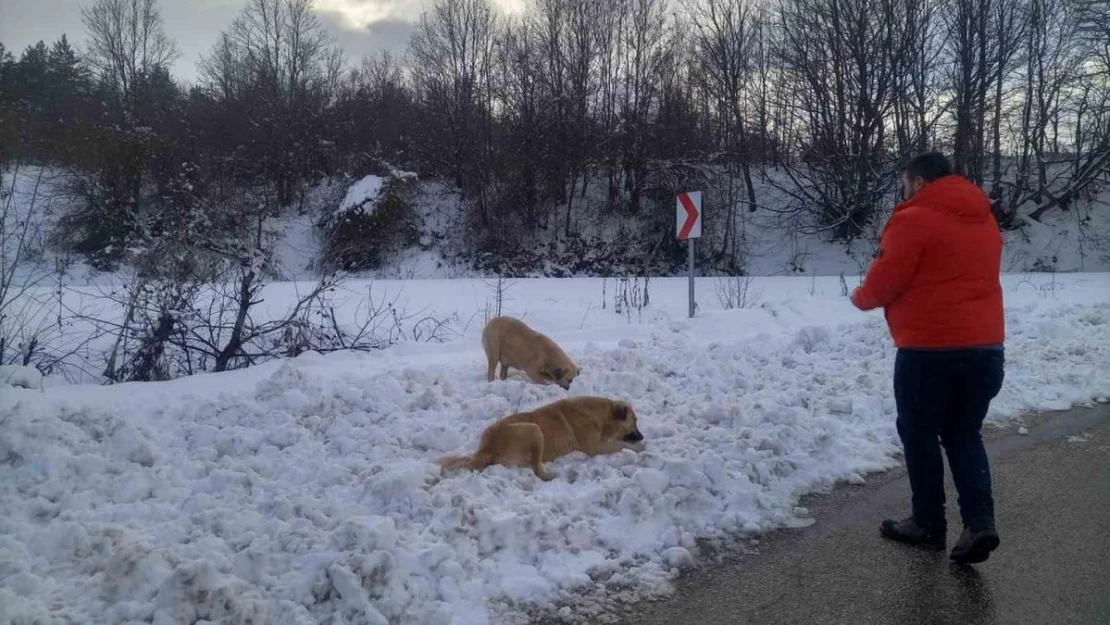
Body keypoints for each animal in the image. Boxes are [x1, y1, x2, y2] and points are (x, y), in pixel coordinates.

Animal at [432, 399, 643, 481]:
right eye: (634, 421)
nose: (642, 436)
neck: (598, 415)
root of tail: (487, 448)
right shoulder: (594, 447)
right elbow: (619, 444)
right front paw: (640, 447)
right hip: (534, 429)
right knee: (536, 470)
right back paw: (550, 474)